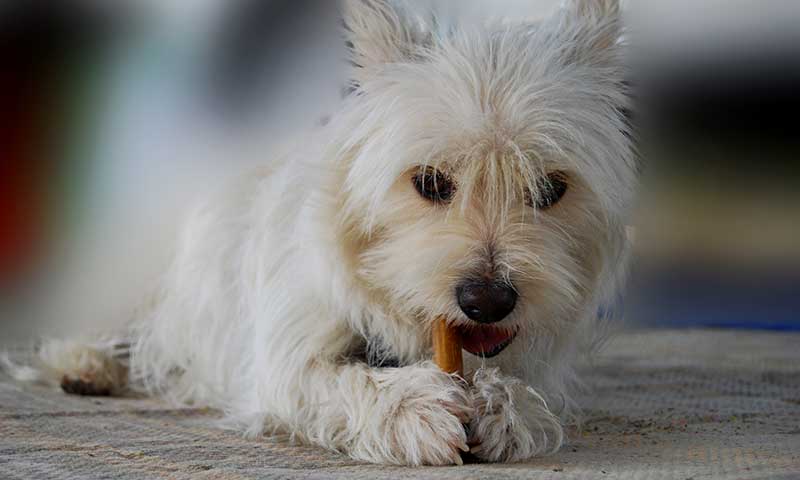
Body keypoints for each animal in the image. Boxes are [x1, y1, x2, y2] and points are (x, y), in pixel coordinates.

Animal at [6, 0, 636, 464]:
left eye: (550, 188)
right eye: (430, 182)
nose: (487, 301)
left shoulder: (528, 355)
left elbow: (521, 389)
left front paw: (502, 409)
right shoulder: (284, 358)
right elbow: (343, 383)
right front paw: (414, 411)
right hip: (133, 276)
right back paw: (87, 363)